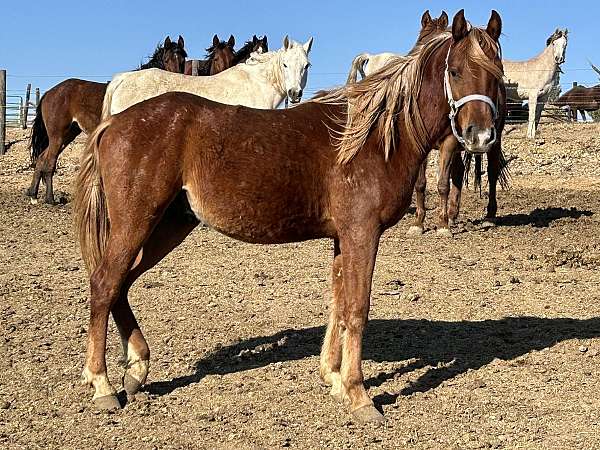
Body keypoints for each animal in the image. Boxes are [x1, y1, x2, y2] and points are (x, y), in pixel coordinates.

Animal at [27, 35, 186, 204]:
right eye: (167, 59)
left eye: (183, 59)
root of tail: (49, 93)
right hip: (57, 136)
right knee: (49, 162)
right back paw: (49, 198)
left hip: (67, 135)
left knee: (42, 159)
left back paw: (33, 194)